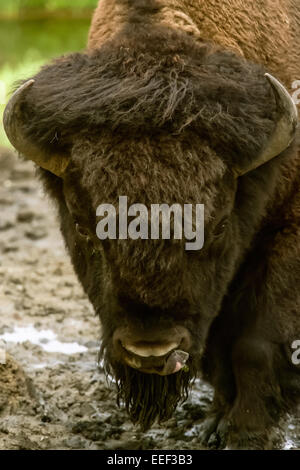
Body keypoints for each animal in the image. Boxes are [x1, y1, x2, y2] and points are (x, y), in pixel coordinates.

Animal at [3, 0, 300, 450]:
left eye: (218, 225)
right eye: (83, 226)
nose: (151, 351)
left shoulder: (287, 232)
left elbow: (255, 344)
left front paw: (246, 434)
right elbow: (219, 343)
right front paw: (215, 423)